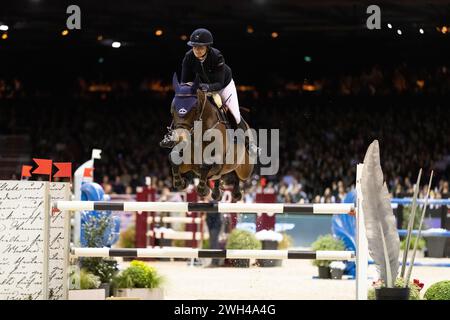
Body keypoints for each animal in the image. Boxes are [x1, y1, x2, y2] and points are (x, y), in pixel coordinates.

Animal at [167, 72, 255, 200]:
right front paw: (181, 182)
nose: (180, 137)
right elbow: (173, 157)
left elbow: (206, 165)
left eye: (194, 108)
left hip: (245, 170)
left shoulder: (217, 161)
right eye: (172, 107)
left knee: (238, 176)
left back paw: (236, 193)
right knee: (221, 176)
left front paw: (203, 190)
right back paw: (217, 193)